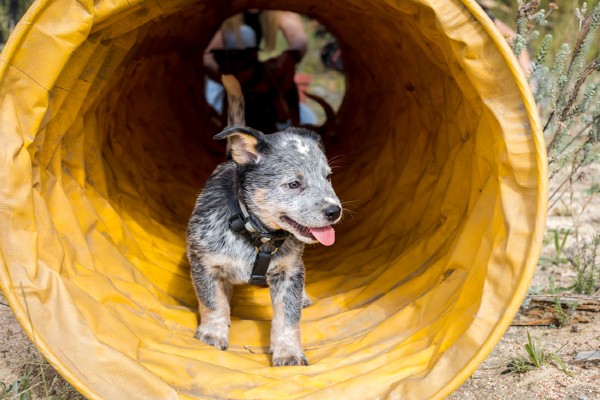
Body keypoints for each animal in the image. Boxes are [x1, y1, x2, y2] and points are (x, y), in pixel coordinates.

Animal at [186, 74, 342, 366]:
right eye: (293, 184)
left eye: (327, 177)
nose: (334, 211)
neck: (259, 236)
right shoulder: (203, 263)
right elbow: (212, 302)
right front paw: (212, 335)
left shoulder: (288, 273)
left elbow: (288, 317)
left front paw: (289, 351)